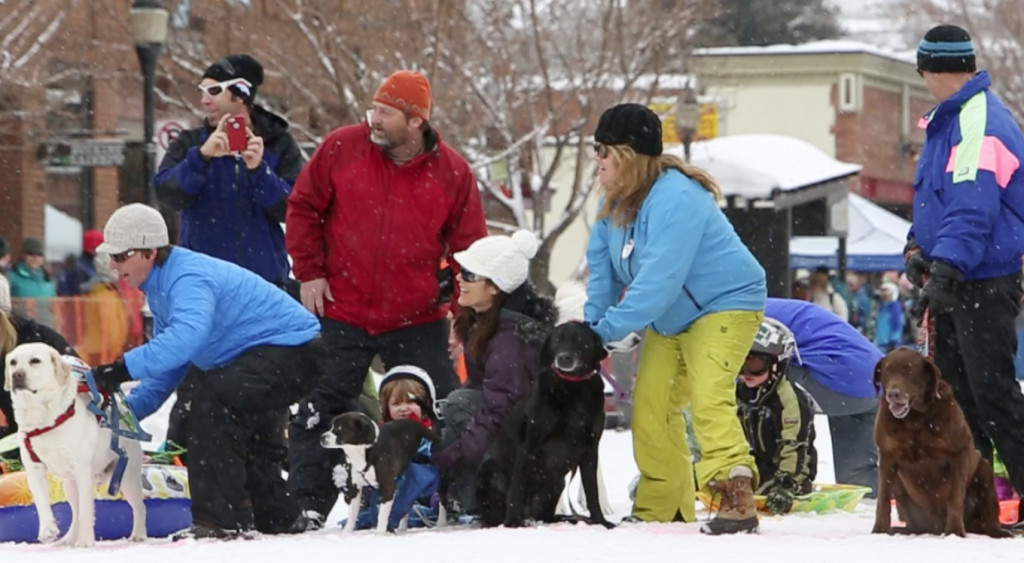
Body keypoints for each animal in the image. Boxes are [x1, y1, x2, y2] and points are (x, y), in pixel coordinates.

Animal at [3, 341, 146, 548]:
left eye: (35, 360)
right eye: (13, 362)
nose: (16, 375)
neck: (43, 420)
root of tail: (126, 413)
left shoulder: (81, 469)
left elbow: (87, 511)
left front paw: (86, 543)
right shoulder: (34, 469)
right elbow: (41, 501)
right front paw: (48, 529)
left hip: (127, 476)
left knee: (139, 507)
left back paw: (138, 535)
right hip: (69, 485)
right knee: (76, 513)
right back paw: (68, 539)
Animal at [475, 321, 610, 528]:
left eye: (580, 339)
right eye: (557, 340)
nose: (564, 358)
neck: (573, 388)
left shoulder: (590, 448)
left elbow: (592, 491)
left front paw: (600, 522)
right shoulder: (529, 443)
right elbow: (517, 487)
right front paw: (512, 522)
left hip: (557, 484)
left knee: (547, 516)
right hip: (491, 472)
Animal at [872, 348, 1007, 540]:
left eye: (909, 370)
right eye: (888, 371)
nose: (893, 393)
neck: (914, 419)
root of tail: (934, 527)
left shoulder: (959, 453)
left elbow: (955, 498)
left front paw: (955, 531)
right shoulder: (887, 456)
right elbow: (883, 498)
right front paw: (880, 530)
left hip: (984, 469)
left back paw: (997, 531)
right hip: (900, 485)